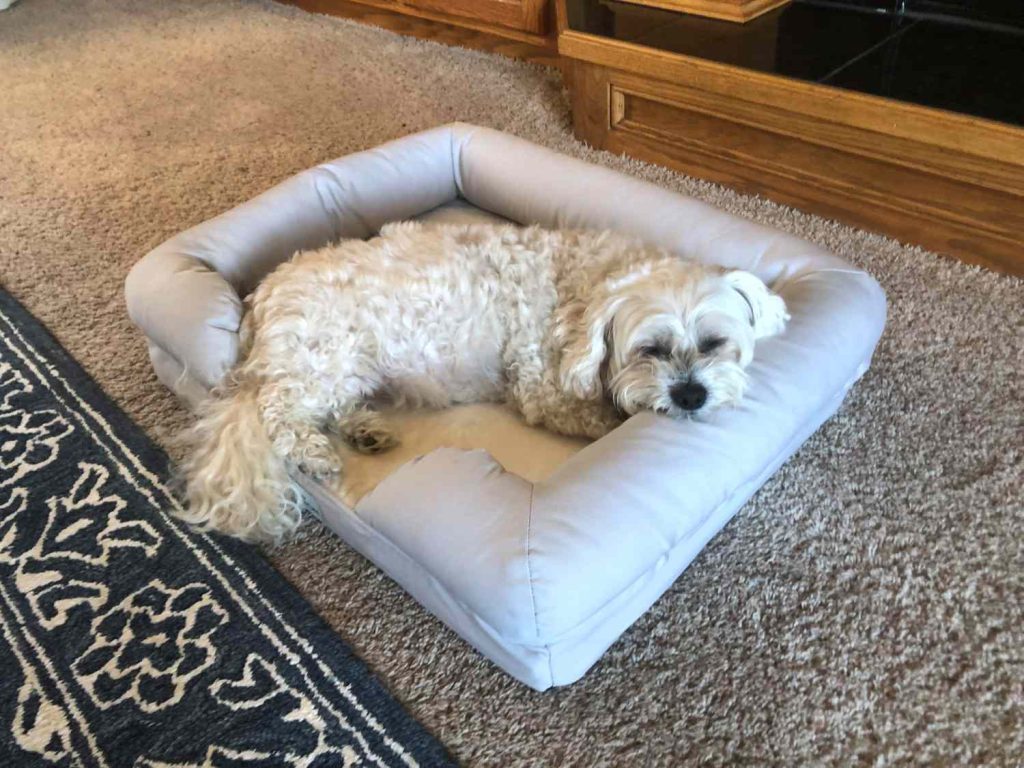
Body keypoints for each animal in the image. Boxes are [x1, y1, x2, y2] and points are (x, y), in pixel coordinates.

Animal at [176, 222, 786, 544]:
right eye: (651, 350)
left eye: (713, 343)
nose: (691, 394)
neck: (584, 294)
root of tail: (260, 298)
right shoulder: (541, 390)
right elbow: (593, 413)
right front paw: (622, 413)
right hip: (325, 352)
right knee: (279, 412)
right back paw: (314, 451)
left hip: (352, 367)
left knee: (332, 406)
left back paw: (365, 431)